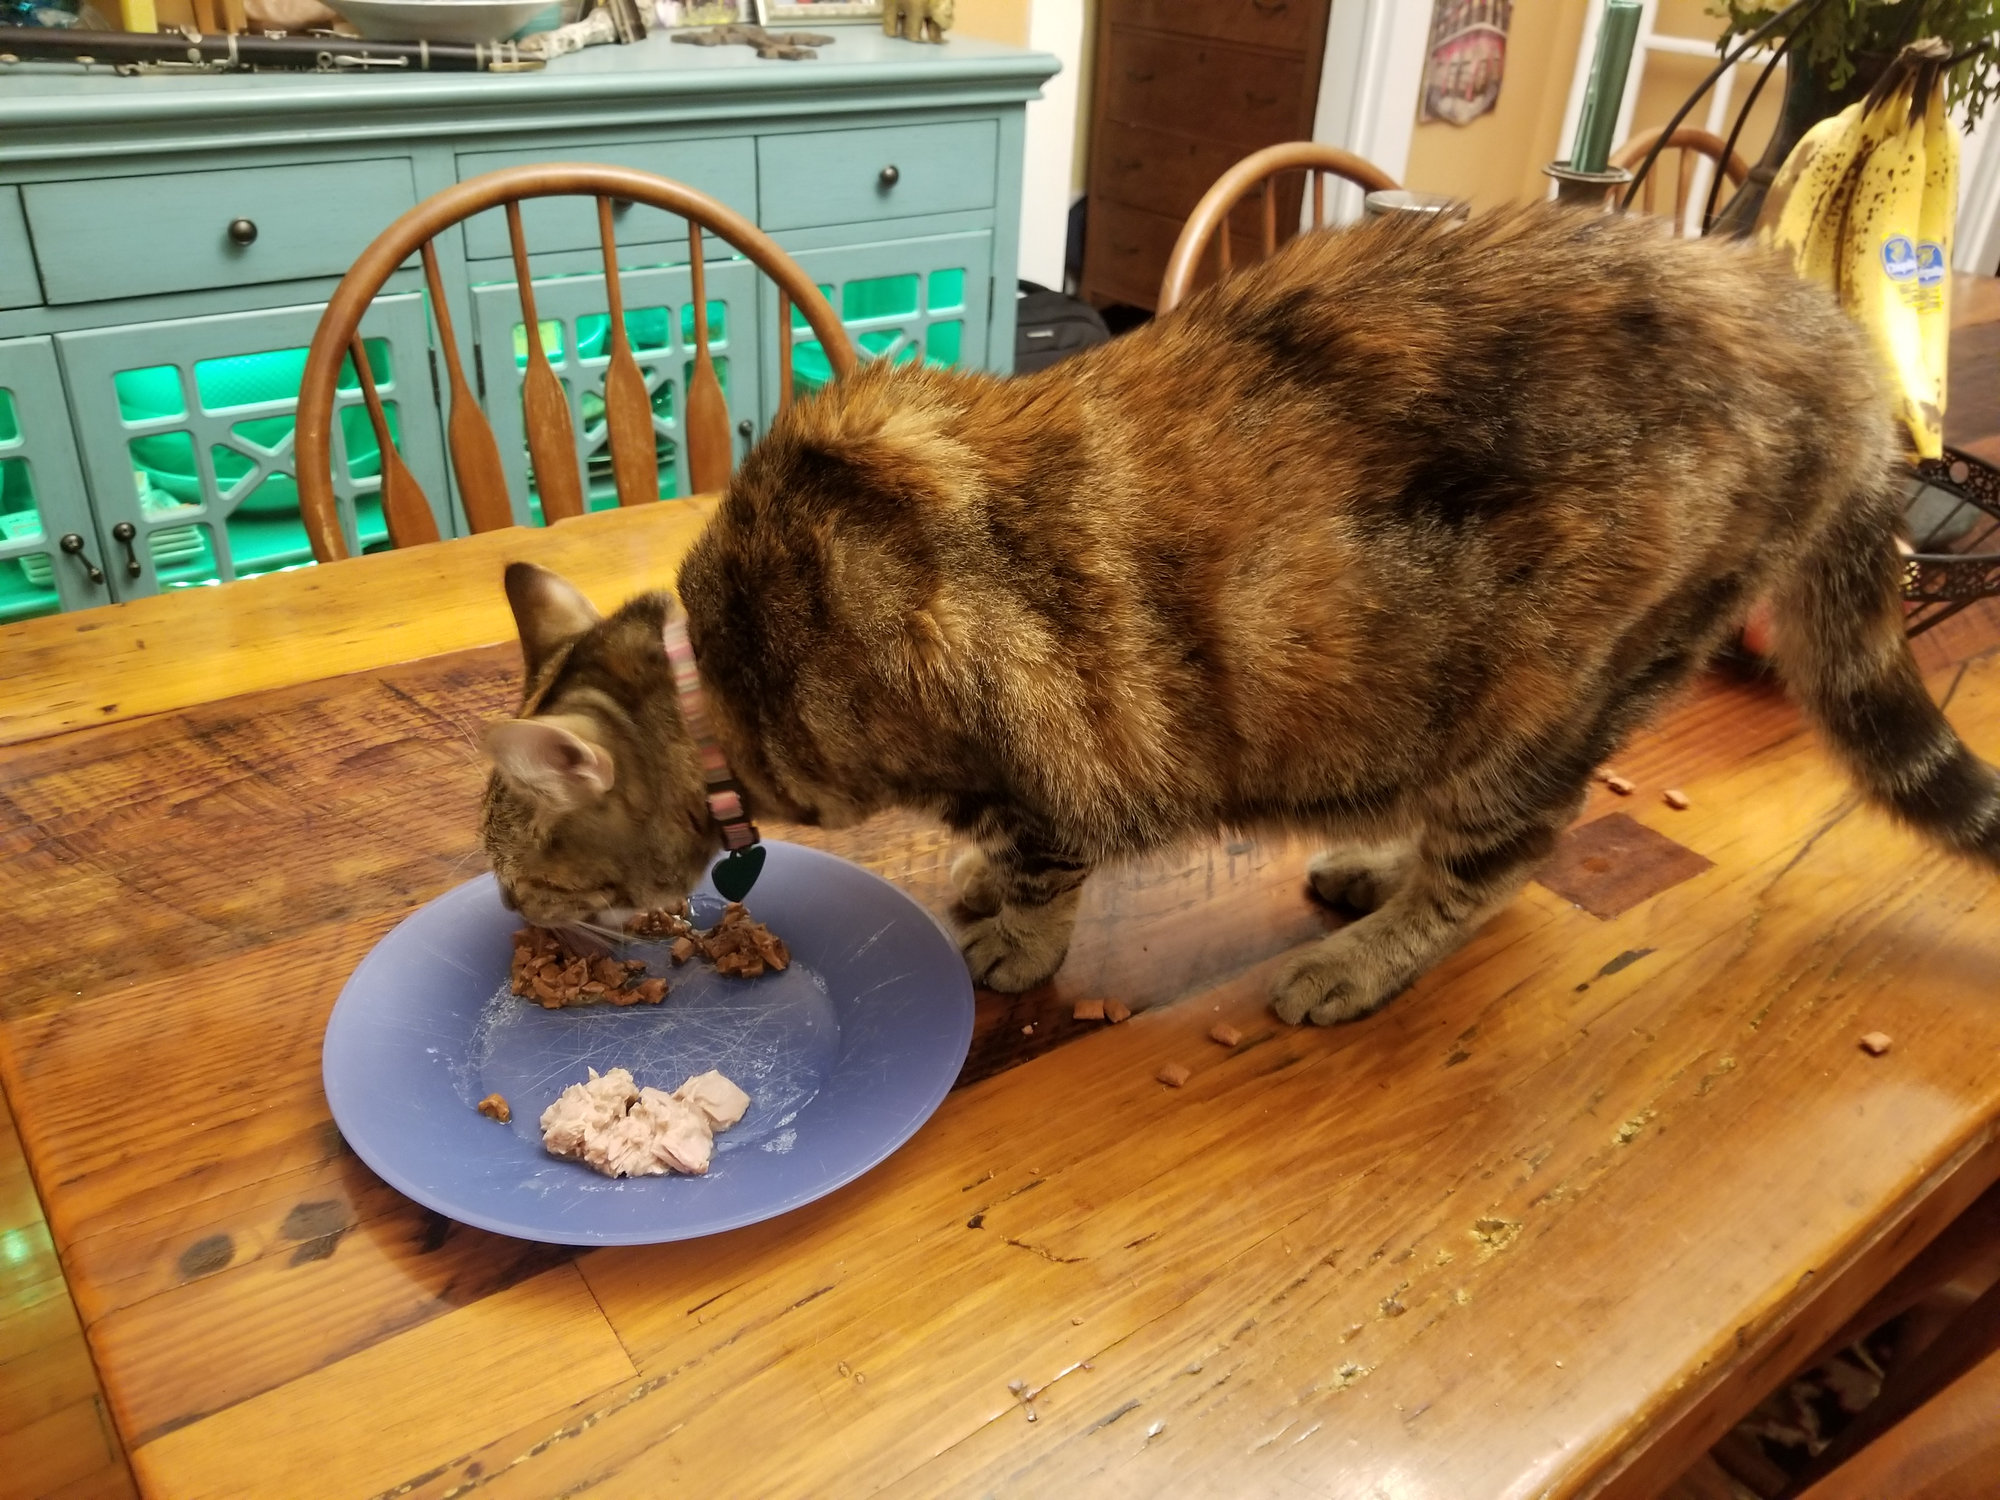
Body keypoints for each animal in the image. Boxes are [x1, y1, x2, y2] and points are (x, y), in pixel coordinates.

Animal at [479, 203, 2000, 1026]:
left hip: (1548, 703)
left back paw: (1360, 956)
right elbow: (1006, 852)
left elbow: (1047, 865)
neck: (727, 678)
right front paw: (976, 882)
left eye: (519, 877)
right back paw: (1368, 873)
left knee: (1498, 867)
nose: (515, 929)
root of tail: (1828, 339)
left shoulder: (1051, 740)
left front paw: (1013, 935)